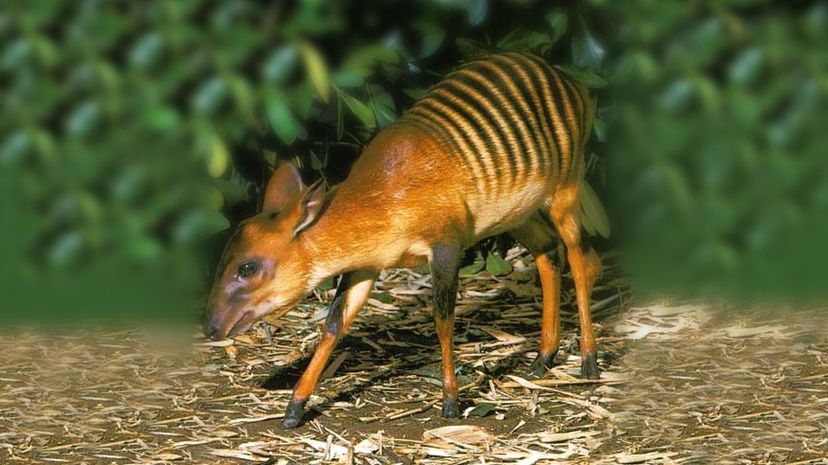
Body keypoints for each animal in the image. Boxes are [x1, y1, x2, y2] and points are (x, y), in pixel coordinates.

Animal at [204, 52, 600, 426]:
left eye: (247, 267)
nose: (211, 327)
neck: (385, 198)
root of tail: (573, 84)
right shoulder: (365, 265)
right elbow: (334, 322)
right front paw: (294, 408)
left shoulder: (446, 244)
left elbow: (442, 317)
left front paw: (450, 402)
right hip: (516, 212)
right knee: (549, 252)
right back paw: (543, 358)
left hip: (566, 185)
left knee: (581, 259)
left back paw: (589, 361)